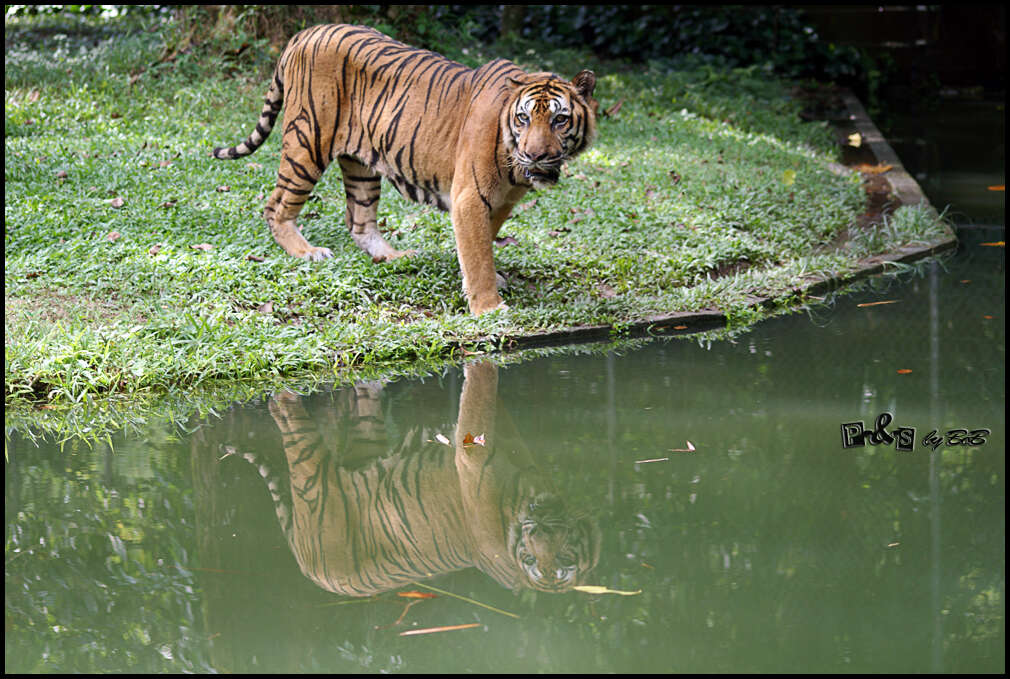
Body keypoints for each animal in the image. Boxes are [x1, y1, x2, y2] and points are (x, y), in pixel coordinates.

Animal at [209, 23, 593, 315]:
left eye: (559, 120)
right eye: (524, 118)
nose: (535, 155)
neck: (515, 167)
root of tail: (307, 31)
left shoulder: (501, 201)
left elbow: (482, 243)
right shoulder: (469, 197)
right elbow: (478, 252)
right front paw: (488, 307)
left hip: (361, 165)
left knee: (359, 222)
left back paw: (393, 256)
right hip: (308, 140)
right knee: (276, 205)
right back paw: (307, 251)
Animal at [229, 359, 597, 594]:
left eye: (565, 558)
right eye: (530, 558)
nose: (542, 526)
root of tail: (307, 569)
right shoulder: (474, 458)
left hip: (365, 442)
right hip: (313, 482)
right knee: (285, 416)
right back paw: (285, 396)